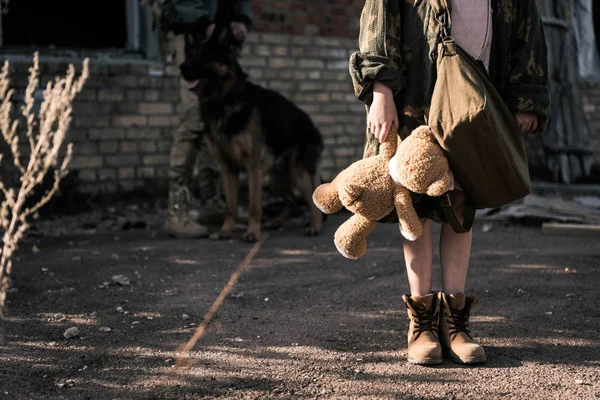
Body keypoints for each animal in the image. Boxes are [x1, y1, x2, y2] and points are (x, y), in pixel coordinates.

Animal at [180, 28, 326, 242]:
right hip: (275, 180)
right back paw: (276, 222)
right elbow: (230, 206)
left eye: (206, 55)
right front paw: (225, 231)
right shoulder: (228, 169)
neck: (223, 101)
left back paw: (315, 227)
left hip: (296, 173)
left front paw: (251, 233)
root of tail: (312, 126)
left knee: (311, 200)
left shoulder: (253, 166)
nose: (182, 67)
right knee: (293, 203)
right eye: (190, 54)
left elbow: (253, 205)